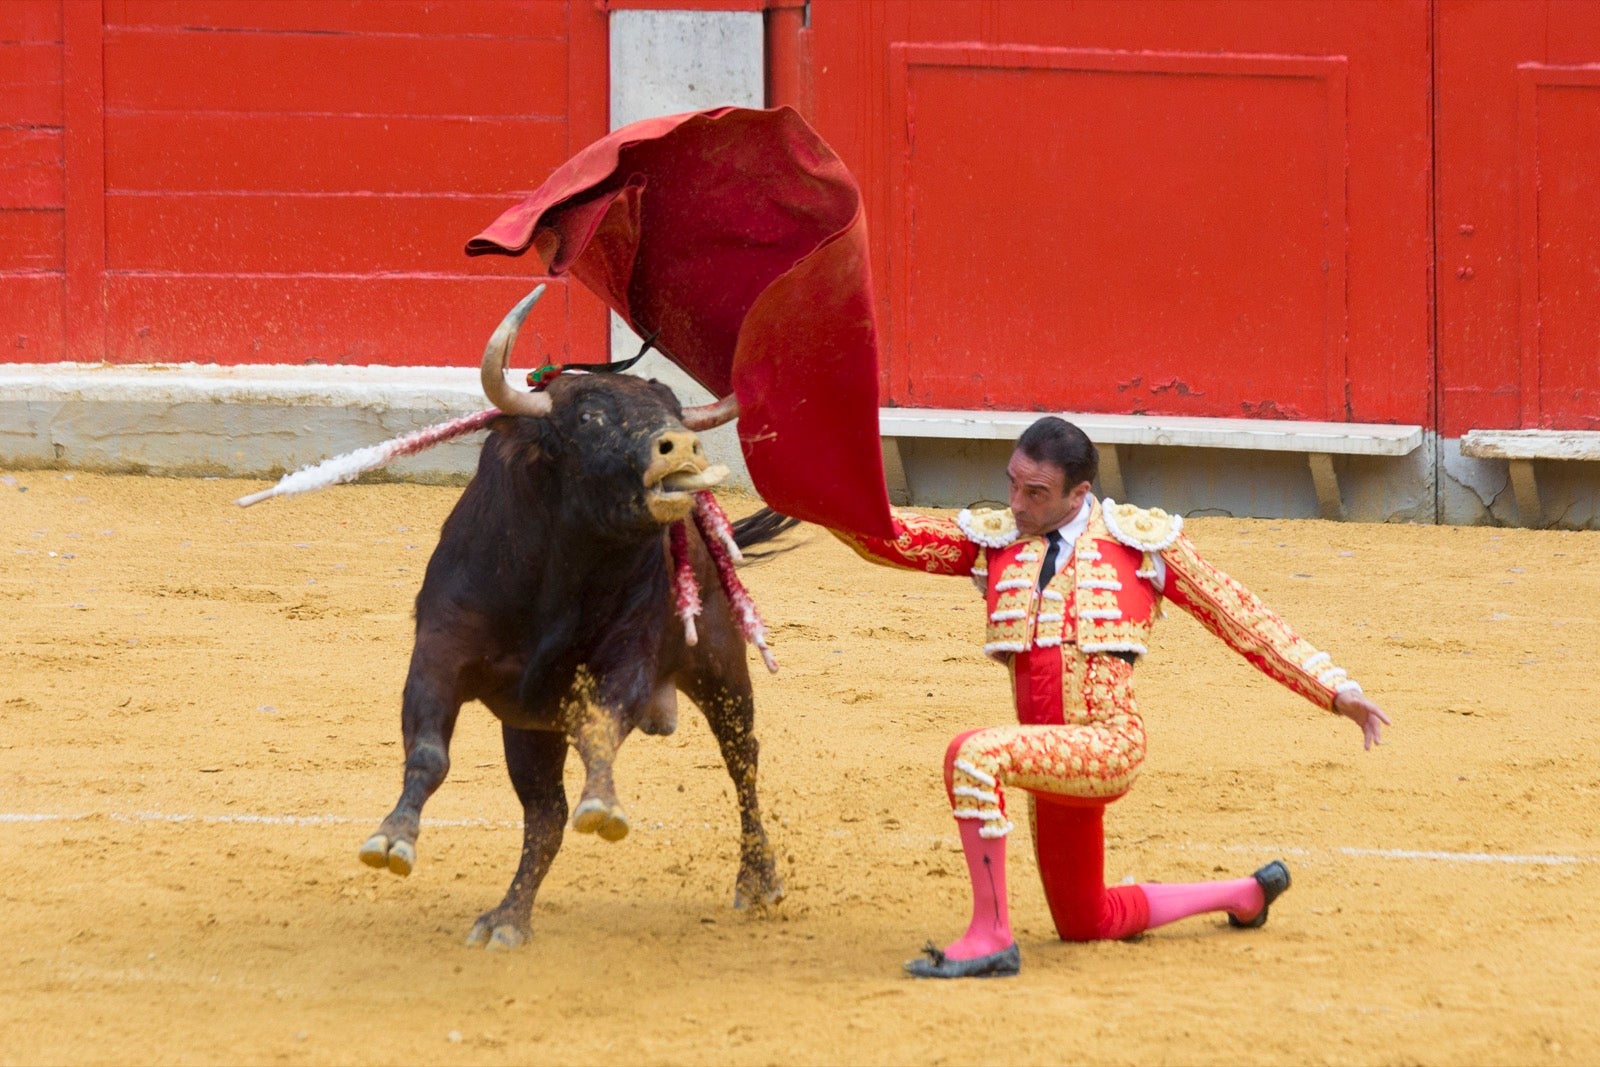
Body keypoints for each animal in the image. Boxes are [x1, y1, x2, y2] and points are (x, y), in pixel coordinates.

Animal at [360, 287, 790, 947]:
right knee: (545, 816)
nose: (682, 444)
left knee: (743, 759)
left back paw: (758, 880)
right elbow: (429, 752)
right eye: (589, 418)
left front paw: (604, 807)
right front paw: (391, 839)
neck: (561, 571)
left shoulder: (628, 657)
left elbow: (602, 730)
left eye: (674, 409)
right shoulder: (439, 650)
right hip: (528, 729)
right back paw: (508, 918)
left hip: (720, 665)